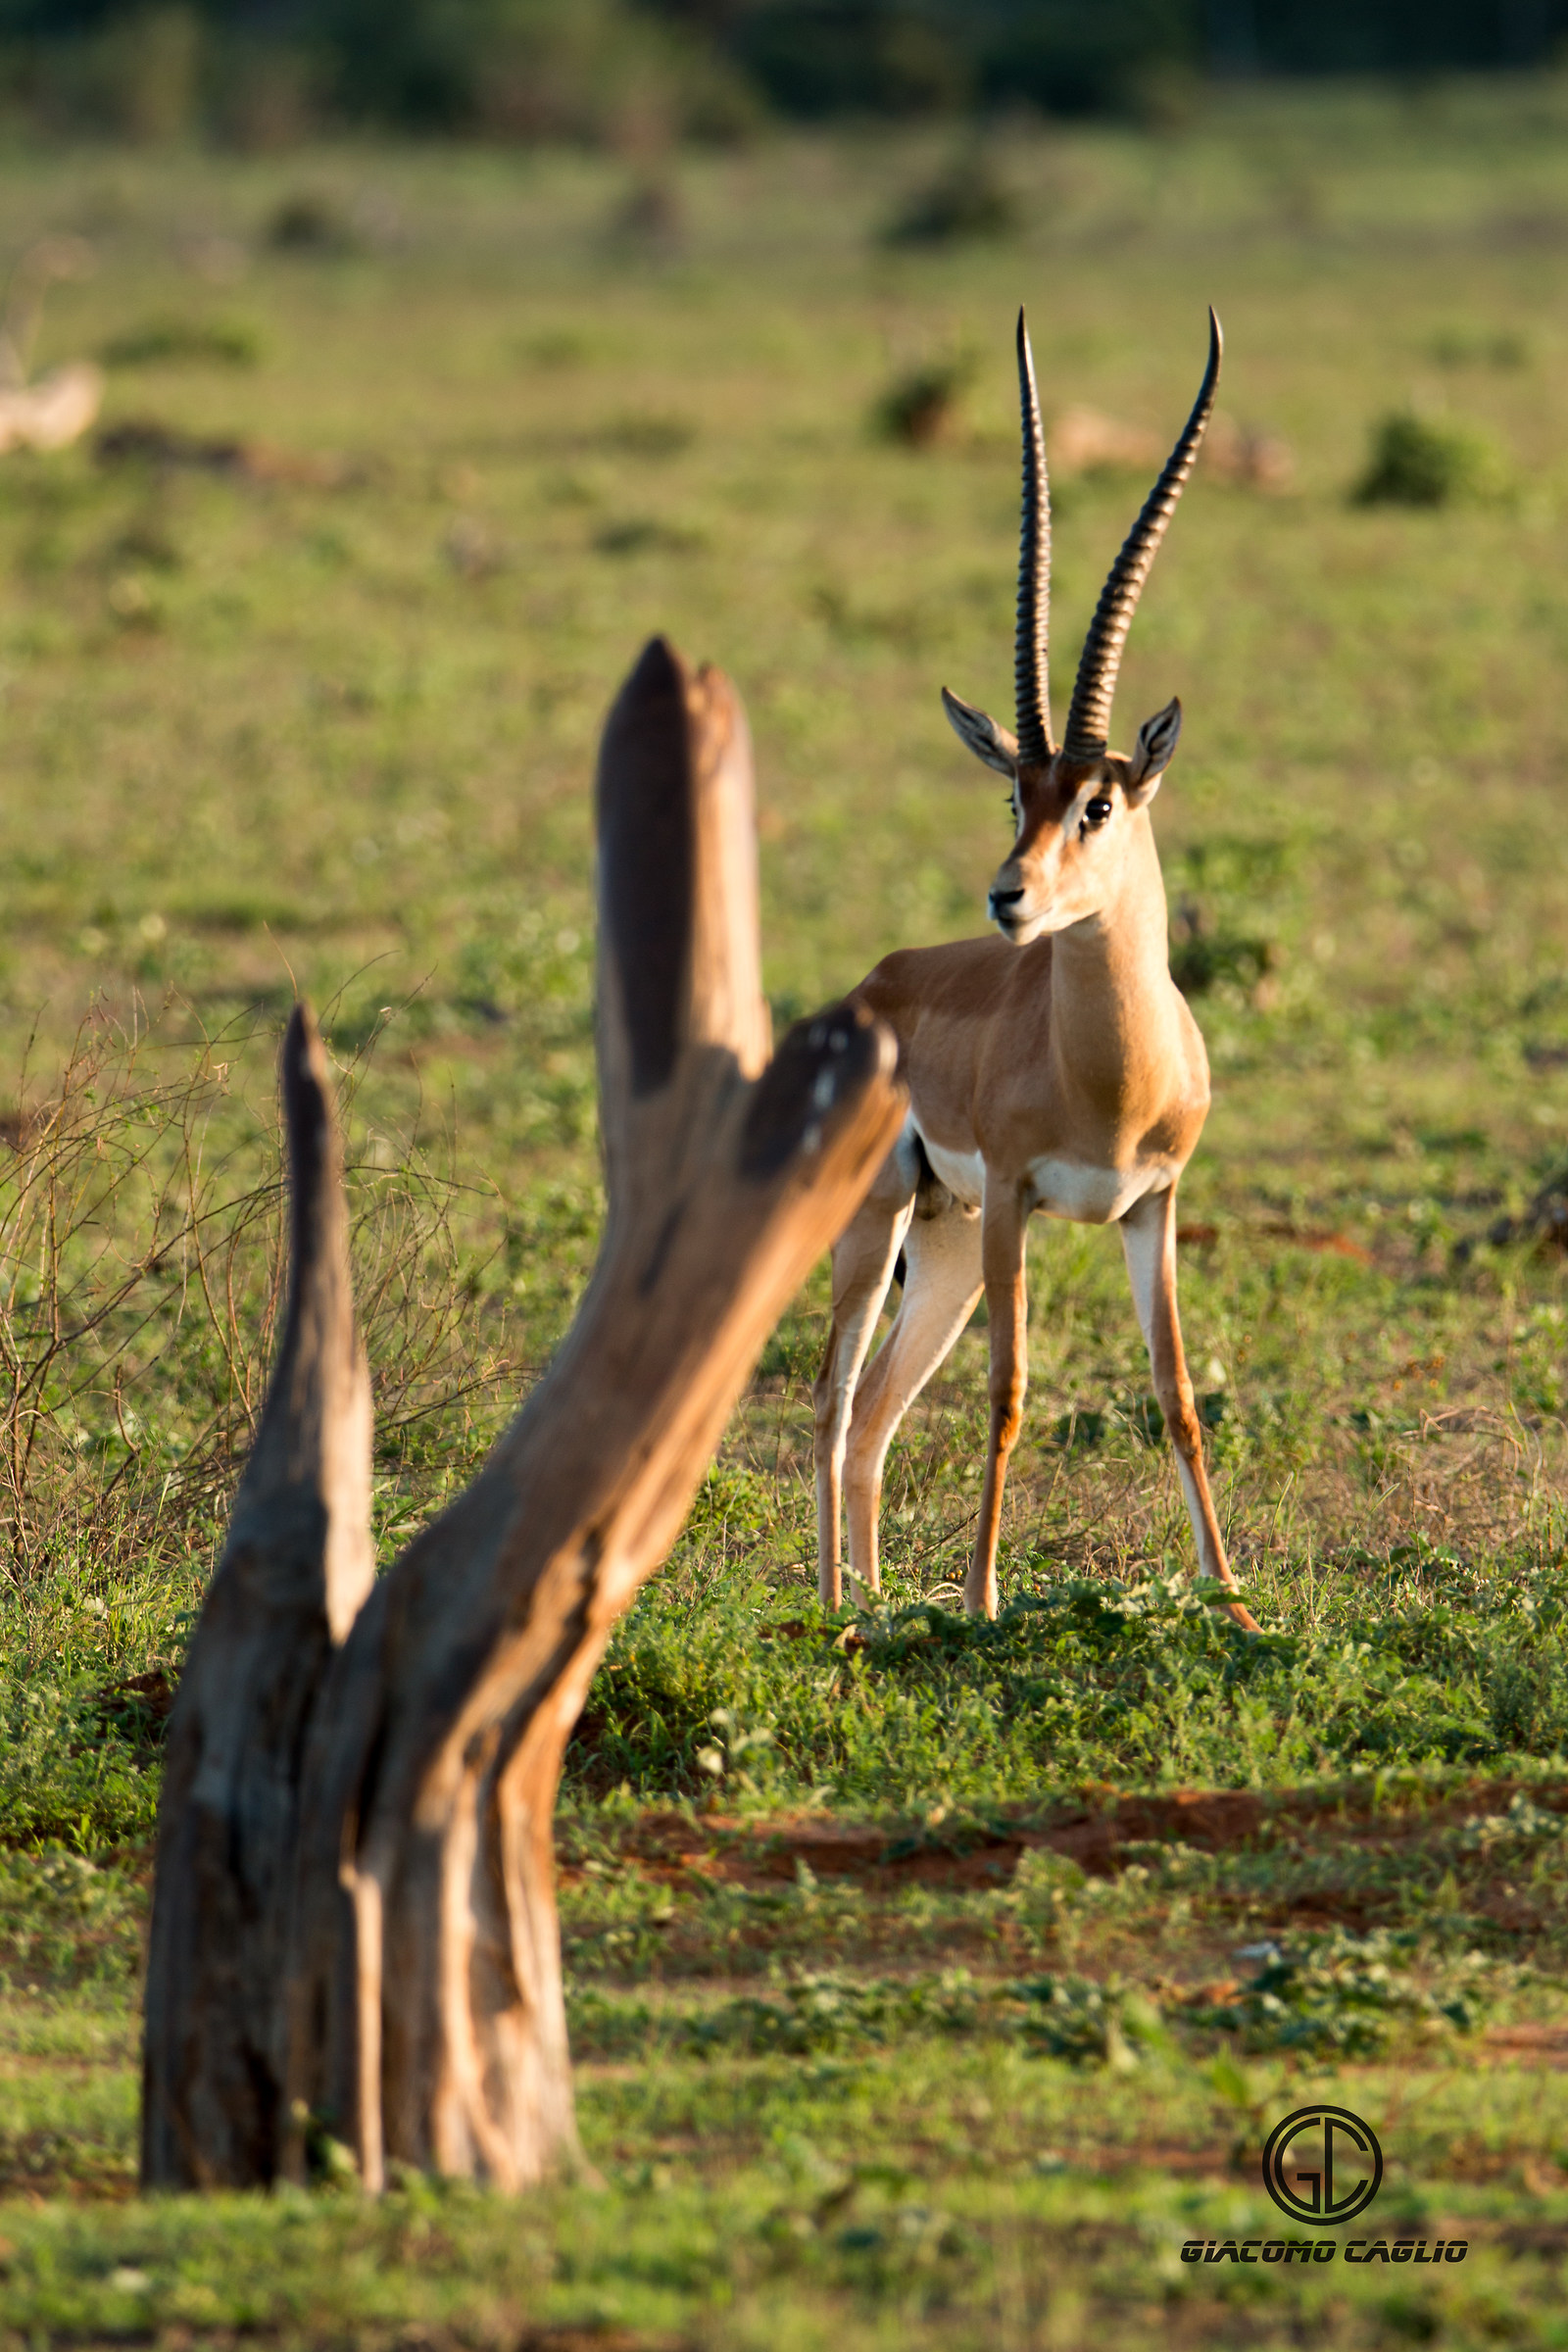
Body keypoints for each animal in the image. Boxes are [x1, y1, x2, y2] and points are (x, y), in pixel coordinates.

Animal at [813, 308, 1259, 1634]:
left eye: (1097, 802)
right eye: (1016, 793)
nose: (1006, 897)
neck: (1109, 1074)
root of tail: (875, 983)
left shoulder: (1152, 1206)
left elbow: (1176, 1393)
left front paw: (1235, 1603)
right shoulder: (1017, 1197)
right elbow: (1011, 1393)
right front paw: (982, 1600)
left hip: (945, 1244)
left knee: (876, 1414)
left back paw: (877, 1602)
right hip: (884, 1222)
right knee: (833, 1400)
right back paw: (838, 1603)